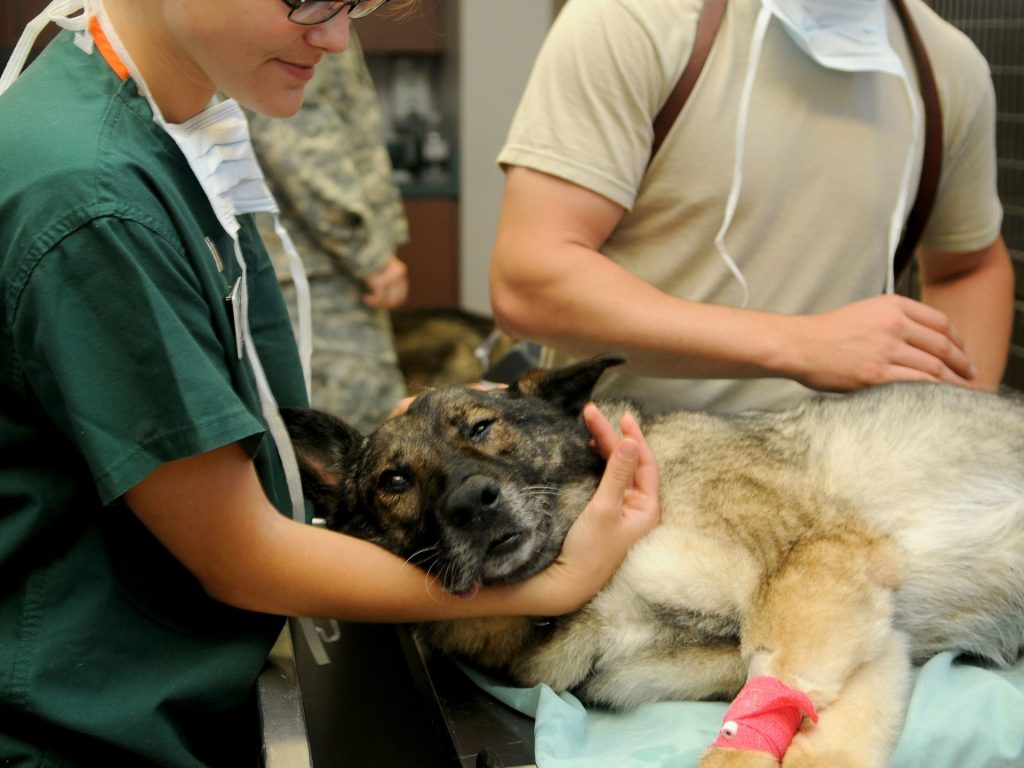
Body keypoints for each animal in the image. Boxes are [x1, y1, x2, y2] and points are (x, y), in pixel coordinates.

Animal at [284, 358, 1024, 765]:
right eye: (394, 481)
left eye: (480, 427)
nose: (473, 502)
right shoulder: (864, 636)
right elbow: (813, 727)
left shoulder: (816, 568)